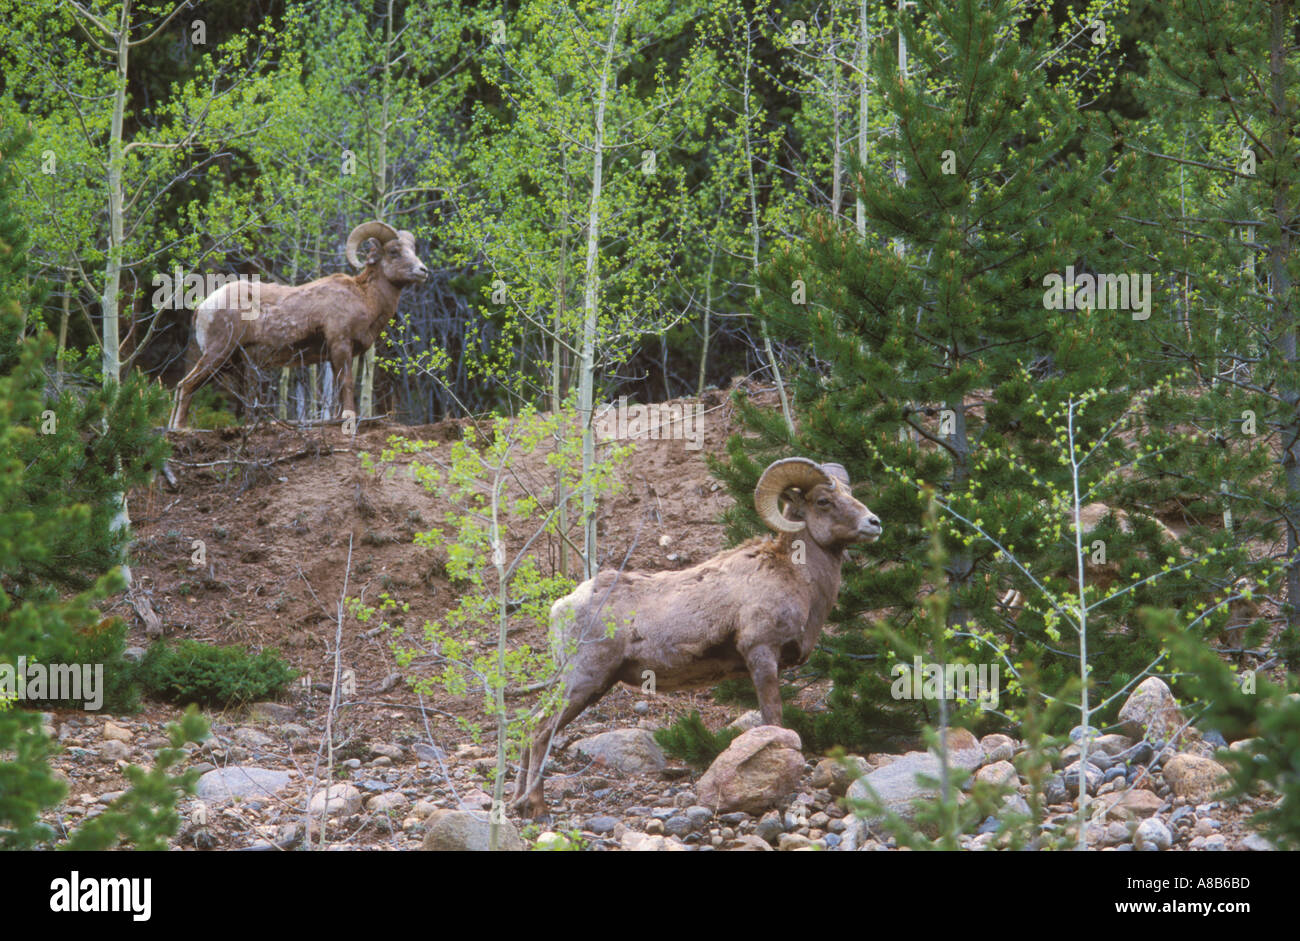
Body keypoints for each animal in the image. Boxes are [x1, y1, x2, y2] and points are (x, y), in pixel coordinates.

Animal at [168, 221, 429, 429]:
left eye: (413, 249)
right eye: (394, 251)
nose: (423, 270)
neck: (364, 297)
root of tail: (203, 307)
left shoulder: (335, 355)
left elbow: (337, 387)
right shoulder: (340, 345)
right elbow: (346, 383)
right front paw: (348, 419)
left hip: (227, 363)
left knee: (182, 386)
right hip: (218, 354)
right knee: (186, 385)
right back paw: (181, 429)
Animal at [511, 457, 882, 818]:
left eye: (849, 492)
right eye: (823, 501)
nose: (874, 523)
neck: (794, 575)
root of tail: (562, 606)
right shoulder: (762, 654)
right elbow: (774, 721)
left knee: (529, 726)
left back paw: (519, 806)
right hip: (584, 680)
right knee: (541, 730)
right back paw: (539, 809)